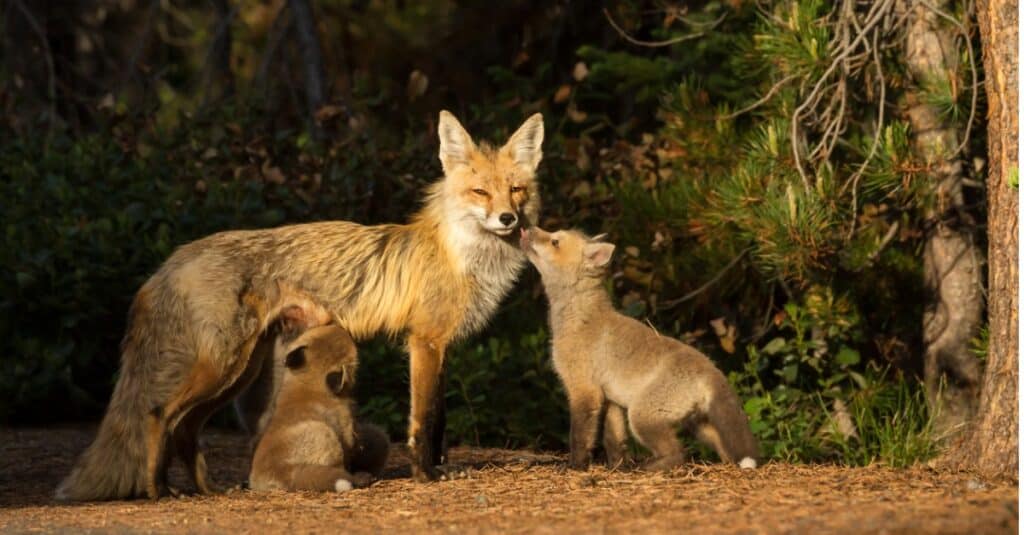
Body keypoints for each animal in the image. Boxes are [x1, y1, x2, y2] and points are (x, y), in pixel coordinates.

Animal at [56, 110, 544, 498]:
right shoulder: (424, 341)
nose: (508, 218)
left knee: (187, 430)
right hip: (222, 365)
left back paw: (206, 490)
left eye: (516, 190)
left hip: (239, 371)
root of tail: (174, 257)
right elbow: (424, 421)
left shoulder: (441, 346)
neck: (462, 255)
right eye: (481, 193)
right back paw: (158, 491)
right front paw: (425, 475)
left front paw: (442, 468)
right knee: (159, 415)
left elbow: (440, 419)